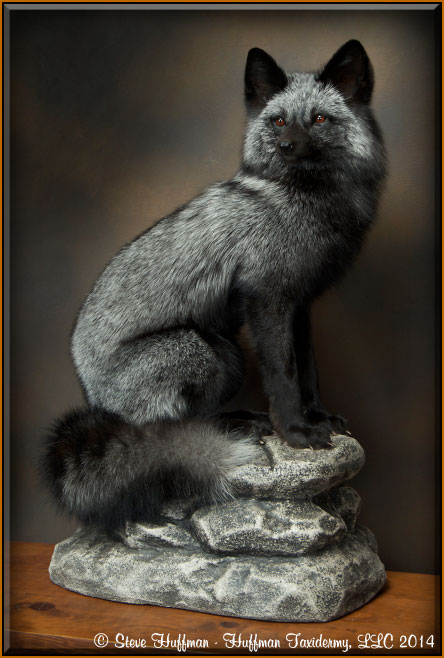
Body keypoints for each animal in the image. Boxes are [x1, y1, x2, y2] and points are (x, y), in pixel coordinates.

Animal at [41, 41, 386, 535]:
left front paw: (317, 415)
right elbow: (284, 373)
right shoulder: (267, 300)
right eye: (278, 120)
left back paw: (242, 422)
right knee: (179, 430)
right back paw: (237, 428)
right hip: (206, 351)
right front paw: (296, 432)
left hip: (225, 354)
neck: (305, 201)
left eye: (319, 119)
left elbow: (308, 369)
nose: (286, 146)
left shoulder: (300, 305)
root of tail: (97, 404)